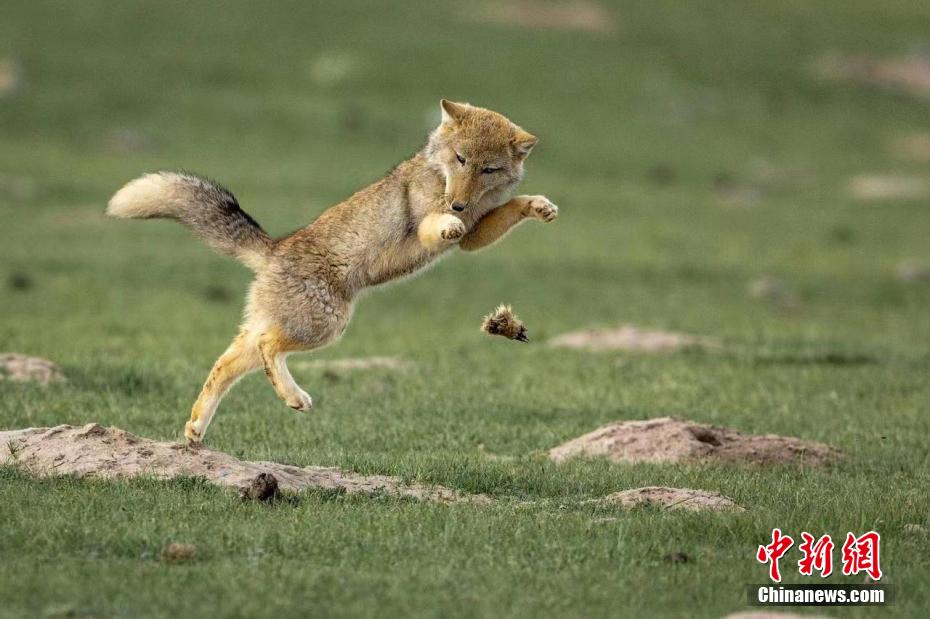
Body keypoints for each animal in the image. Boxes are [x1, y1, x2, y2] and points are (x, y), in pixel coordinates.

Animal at [109, 99, 560, 444]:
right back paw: (293, 397)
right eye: (461, 159)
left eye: (488, 169)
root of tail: (274, 248)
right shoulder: (431, 229)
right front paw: (448, 221)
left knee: (227, 364)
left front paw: (538, 205)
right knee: (268, 348)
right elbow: (436, 226)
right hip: (324, 326)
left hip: (289, 328)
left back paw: (197, 427)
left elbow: (510, 207)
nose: (458, 205)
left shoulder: (476, 235)